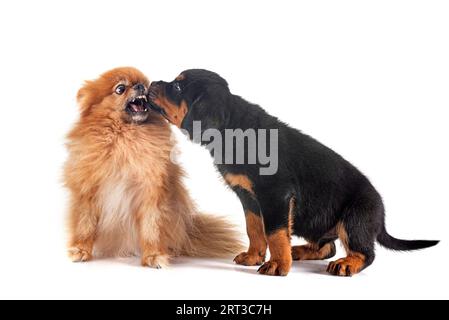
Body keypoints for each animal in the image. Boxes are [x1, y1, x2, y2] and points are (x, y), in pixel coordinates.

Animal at [63, 67, 242, 268]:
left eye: (143, 83)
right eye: (120, 88)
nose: (141, 86)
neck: (125, 138)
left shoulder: (151, 193)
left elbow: (152, 228)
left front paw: (154, 256)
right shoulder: (88, 192)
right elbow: (85, 226)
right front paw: (80, 250)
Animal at [148, 70, 438, 278]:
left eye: (177, 87)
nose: (152, 83)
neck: (231, 130)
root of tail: (381, 216)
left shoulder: (275, 194)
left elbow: (275, 233)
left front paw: (277, 265)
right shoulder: (249, 198)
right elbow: (255, 229)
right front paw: (254, 256)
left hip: (355, 217)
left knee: (365, 252)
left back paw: (346, 264)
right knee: (327, 246)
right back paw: (299, 250)